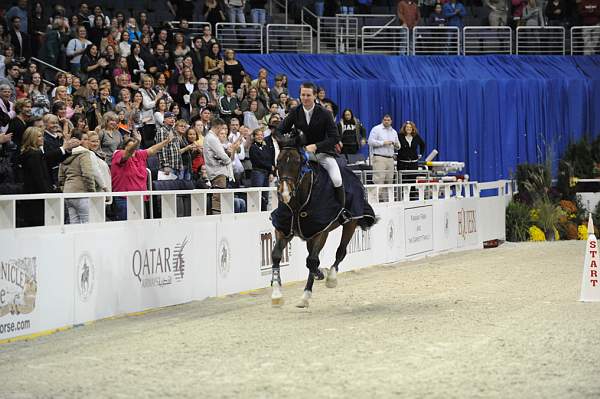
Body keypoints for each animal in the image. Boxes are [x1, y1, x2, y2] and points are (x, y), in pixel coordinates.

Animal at [270, 134, 378, 310]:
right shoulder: (283, 228)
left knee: (340, 252)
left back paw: (329, 279)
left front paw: (309, 290)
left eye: (297, 162)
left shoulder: (321, 231)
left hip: (350, 223)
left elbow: (312, 261)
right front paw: (276, 294)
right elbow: (276, 255)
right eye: (278, 162)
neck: (298, 204)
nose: (284, 194)